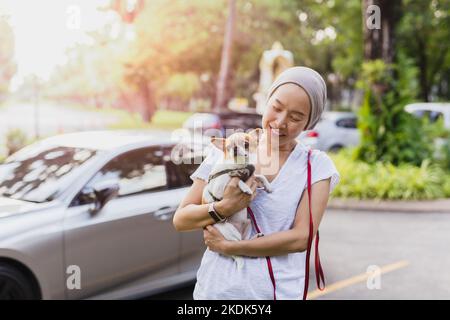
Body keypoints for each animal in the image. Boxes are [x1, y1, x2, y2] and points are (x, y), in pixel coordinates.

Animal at [203, 129, 272, 268]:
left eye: (246, 144)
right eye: (228, 147)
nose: (234, 148)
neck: (239, 167)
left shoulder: (253, 176)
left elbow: (259, 176)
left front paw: (267, 186)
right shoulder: (219, 188)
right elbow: (234, 179)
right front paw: (245, 187)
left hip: (248, 223)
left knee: (243, 244)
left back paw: (255, 239)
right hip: (229, 232)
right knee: (236, 247)